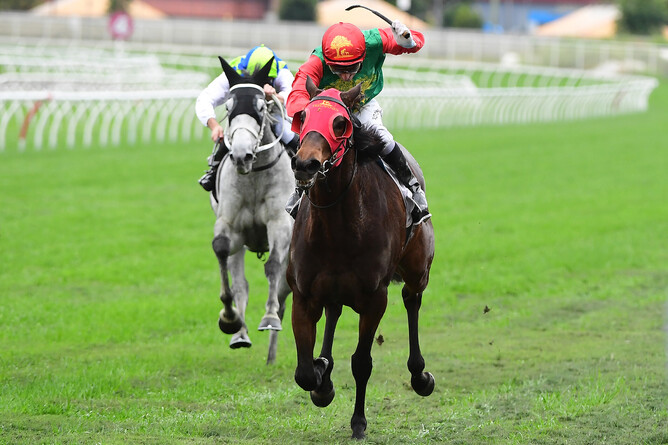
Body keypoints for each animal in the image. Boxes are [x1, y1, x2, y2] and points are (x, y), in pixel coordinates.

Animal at [210, 56, 294, 365]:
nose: (241, 155)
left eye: (261, 107)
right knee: (241, 282)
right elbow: (222, 252)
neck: (255, 175)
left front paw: (269, 317)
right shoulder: (230, 225)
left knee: (285, 290)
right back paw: (242, 335)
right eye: (228, 107)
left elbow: (273, 268)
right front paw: (230, 320)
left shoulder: (280, 223)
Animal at [287, 77, 436, 439]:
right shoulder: (303, 294)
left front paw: (358, 423)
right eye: (303, 116)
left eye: (340, 122)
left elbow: (361, 362)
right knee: (334, 311)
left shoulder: (374, 298)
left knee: (412, 298)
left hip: (418, 268)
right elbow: (304, 372)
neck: (338, 228)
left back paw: (420, 375)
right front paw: (322, 379)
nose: (306, 164)